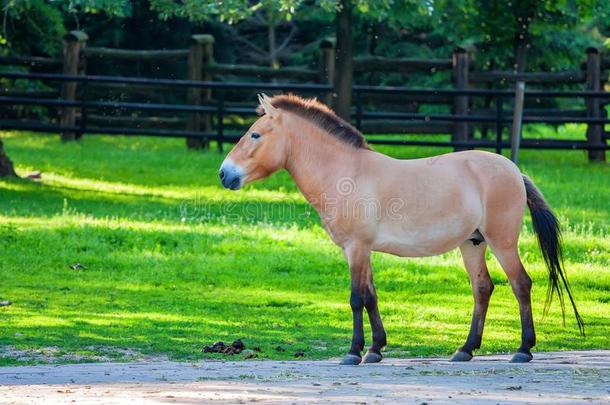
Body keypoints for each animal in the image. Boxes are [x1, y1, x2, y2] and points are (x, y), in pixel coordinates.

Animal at [216, 93, 580, 364]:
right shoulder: (361, 251)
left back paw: (523, 349)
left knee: (521, 284)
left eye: (255, 134)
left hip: (502, 243)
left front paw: (353, 352)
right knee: (483, 289)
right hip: (472, 244)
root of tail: (514, 170)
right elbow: (371, 296)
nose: (224, 174)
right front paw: (375, 349)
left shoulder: (357, 248)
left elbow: (356, 298)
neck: (345, 172)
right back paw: (465, 350)